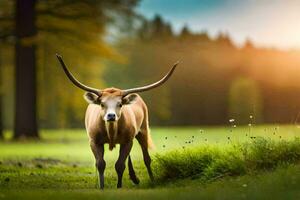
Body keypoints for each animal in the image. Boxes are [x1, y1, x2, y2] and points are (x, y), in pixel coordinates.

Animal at [56, 54, 178, 188]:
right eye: (102, 104)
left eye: (120, 104)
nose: (111, 116)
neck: (111, 131)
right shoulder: (94, 141)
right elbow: (100, 164)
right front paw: (101, 187)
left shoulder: (128, 141)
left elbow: (119, 165)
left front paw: (119, 186)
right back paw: (134, 178)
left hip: (143, 130)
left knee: (146, 158)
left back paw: (151, 180)